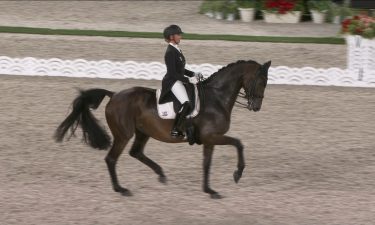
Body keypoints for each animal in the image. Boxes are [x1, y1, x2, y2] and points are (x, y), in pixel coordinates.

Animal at [54, 59, 272, 199]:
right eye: (261, 81)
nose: (256, 106)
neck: (216, 98)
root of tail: (114, 95)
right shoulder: (213, 136)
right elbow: (238, 144)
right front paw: (237, 173)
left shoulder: (209, 140)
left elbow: (207, 164)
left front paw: (210, 191)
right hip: (123, 134)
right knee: (111, 159)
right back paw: (121, 189)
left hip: (143, 132)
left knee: (136, 152)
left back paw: (161, 174)